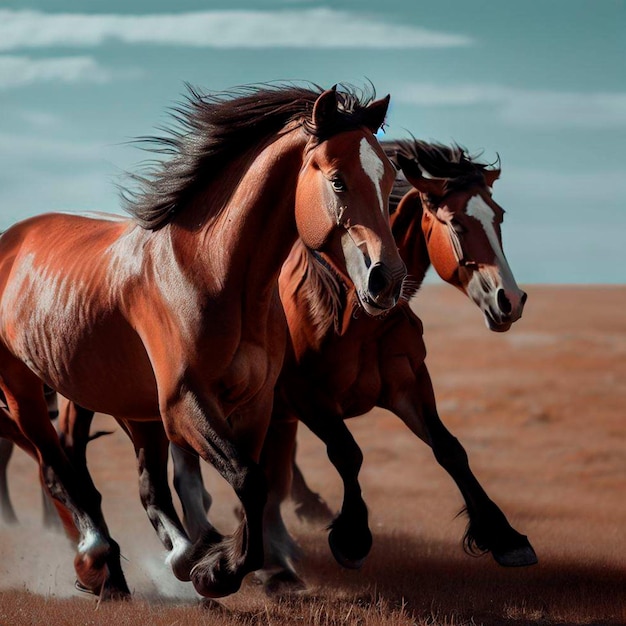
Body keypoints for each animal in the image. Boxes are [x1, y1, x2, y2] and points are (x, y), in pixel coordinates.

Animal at [0, 80, 404, 596]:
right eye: (337, 181)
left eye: (389, 176)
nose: (387, 280)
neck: (209, 273)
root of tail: (11, 240)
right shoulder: (184, 403)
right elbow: (250, 480)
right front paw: (220, 571)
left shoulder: (254, 404)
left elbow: (261, 479)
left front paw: (226, 559)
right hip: (24, 391)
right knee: (57, 470)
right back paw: (98, 561)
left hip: (127, 404)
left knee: (141, 483)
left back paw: (173, 555)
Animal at [167, 138, 536, 588]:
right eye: (457, 225)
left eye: (497, 217)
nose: (510, 300)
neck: (352, 312)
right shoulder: (307, 397)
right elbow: (347, 453)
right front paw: (352, 536)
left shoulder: (408, 387)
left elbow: (451, 450)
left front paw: (505, 536)